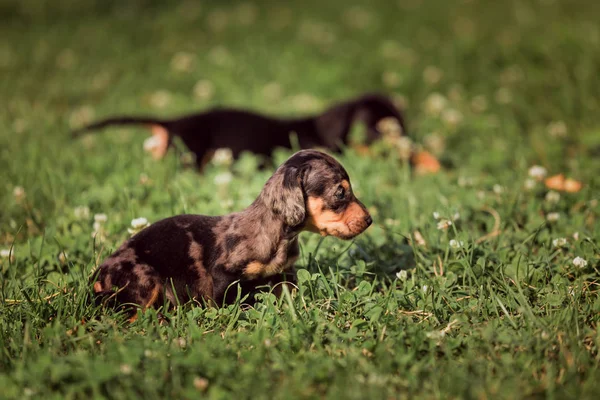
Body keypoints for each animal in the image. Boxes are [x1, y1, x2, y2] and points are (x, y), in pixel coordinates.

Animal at [93, 149, 372, 318]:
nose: (370, 220)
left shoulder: (285, 274)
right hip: (145, 280)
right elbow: (225, 305)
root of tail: (96, 277)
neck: (276, 237)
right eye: (340, 193)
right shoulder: (223, 277)